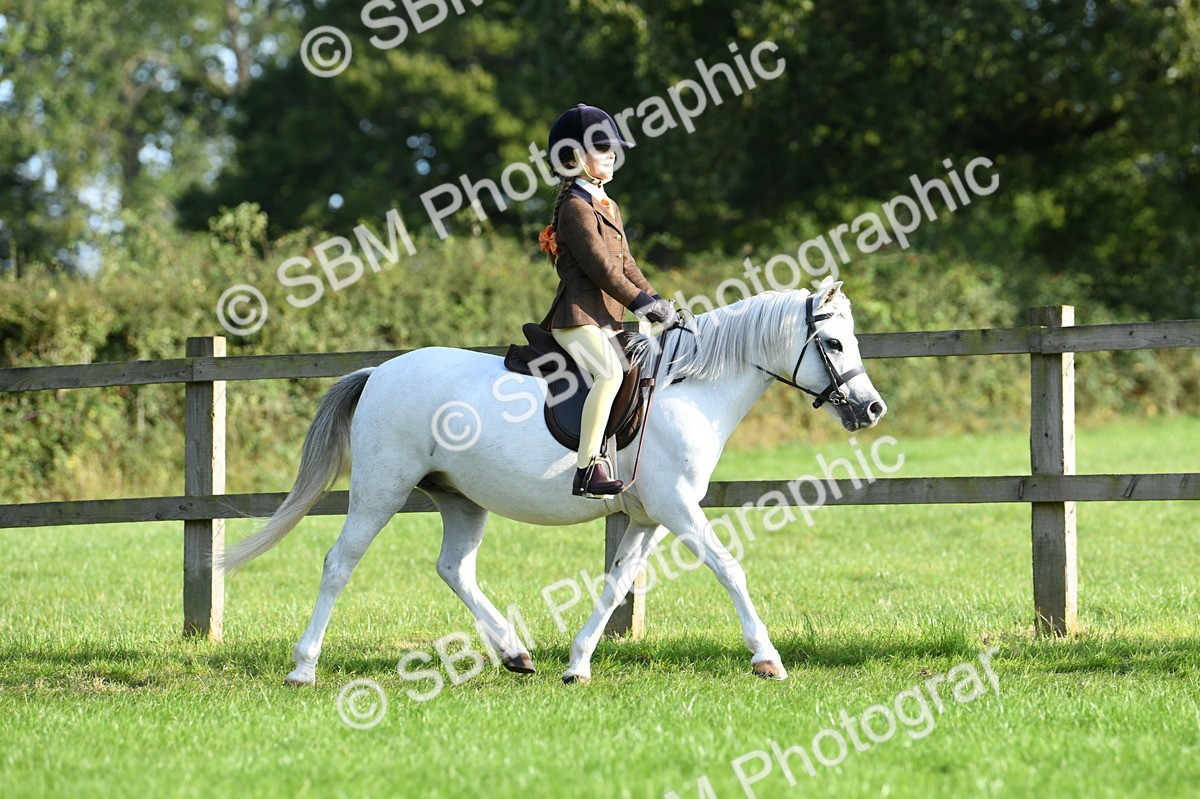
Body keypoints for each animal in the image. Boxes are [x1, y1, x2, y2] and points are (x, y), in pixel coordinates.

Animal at [224, 280, 887, 685]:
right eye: (833, 342)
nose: (872, 409)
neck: (689, 389)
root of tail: (378, 372)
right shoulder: (677, 508)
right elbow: (728, 567)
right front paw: (768, 659)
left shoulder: (648, 517)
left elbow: (616, 585)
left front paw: (578, 663)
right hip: (380, 492)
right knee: (340, 563)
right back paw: (303, 668)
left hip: (461, 499)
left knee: (454, 569)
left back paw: (516, 654)